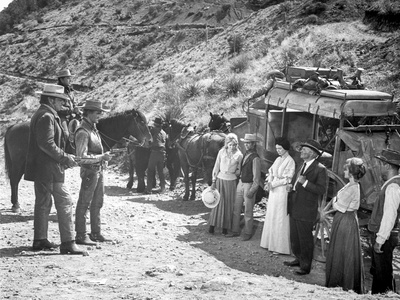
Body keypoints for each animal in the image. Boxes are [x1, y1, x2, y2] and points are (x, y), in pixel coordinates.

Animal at [3, 109, 152, 212]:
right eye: (141, 122)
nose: (150, 141)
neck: (99, 131)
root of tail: (12, 127)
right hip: (18, 163)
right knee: (14, 180)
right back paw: (15, 205)